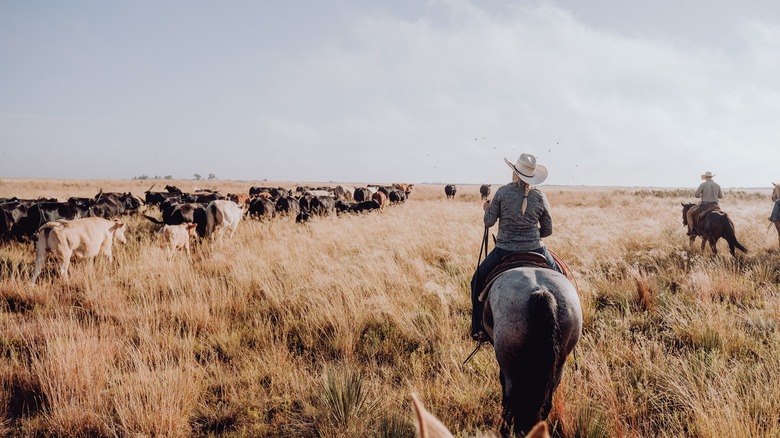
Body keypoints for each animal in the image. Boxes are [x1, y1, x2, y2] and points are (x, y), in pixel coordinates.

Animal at [478, 268, 580, 436]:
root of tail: (541, 291)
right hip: (559, 365)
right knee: (545, 403)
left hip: (510, 366)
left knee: (510, 400)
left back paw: (504, 430)